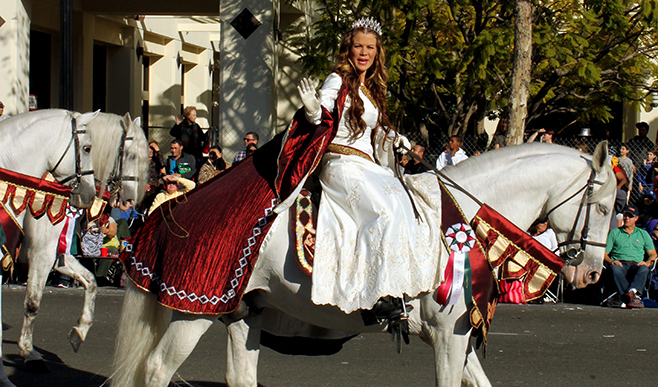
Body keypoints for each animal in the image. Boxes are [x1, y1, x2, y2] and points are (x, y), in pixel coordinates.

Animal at [15, 112, 149, 372]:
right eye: (130, 155)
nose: (130, 201)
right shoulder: (41, 253)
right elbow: (32, 301)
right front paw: (28, 351)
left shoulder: (59, 254)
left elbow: (91, 282)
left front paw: (79, 332)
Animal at [109, 141, 616, 386]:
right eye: (606, 206)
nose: (592, 272)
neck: (462, 215)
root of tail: (171, 209)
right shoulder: (448, 339)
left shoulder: (459, 339)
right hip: (193, 312)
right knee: (156, 371)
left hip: (243, 313)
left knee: (240, 376)